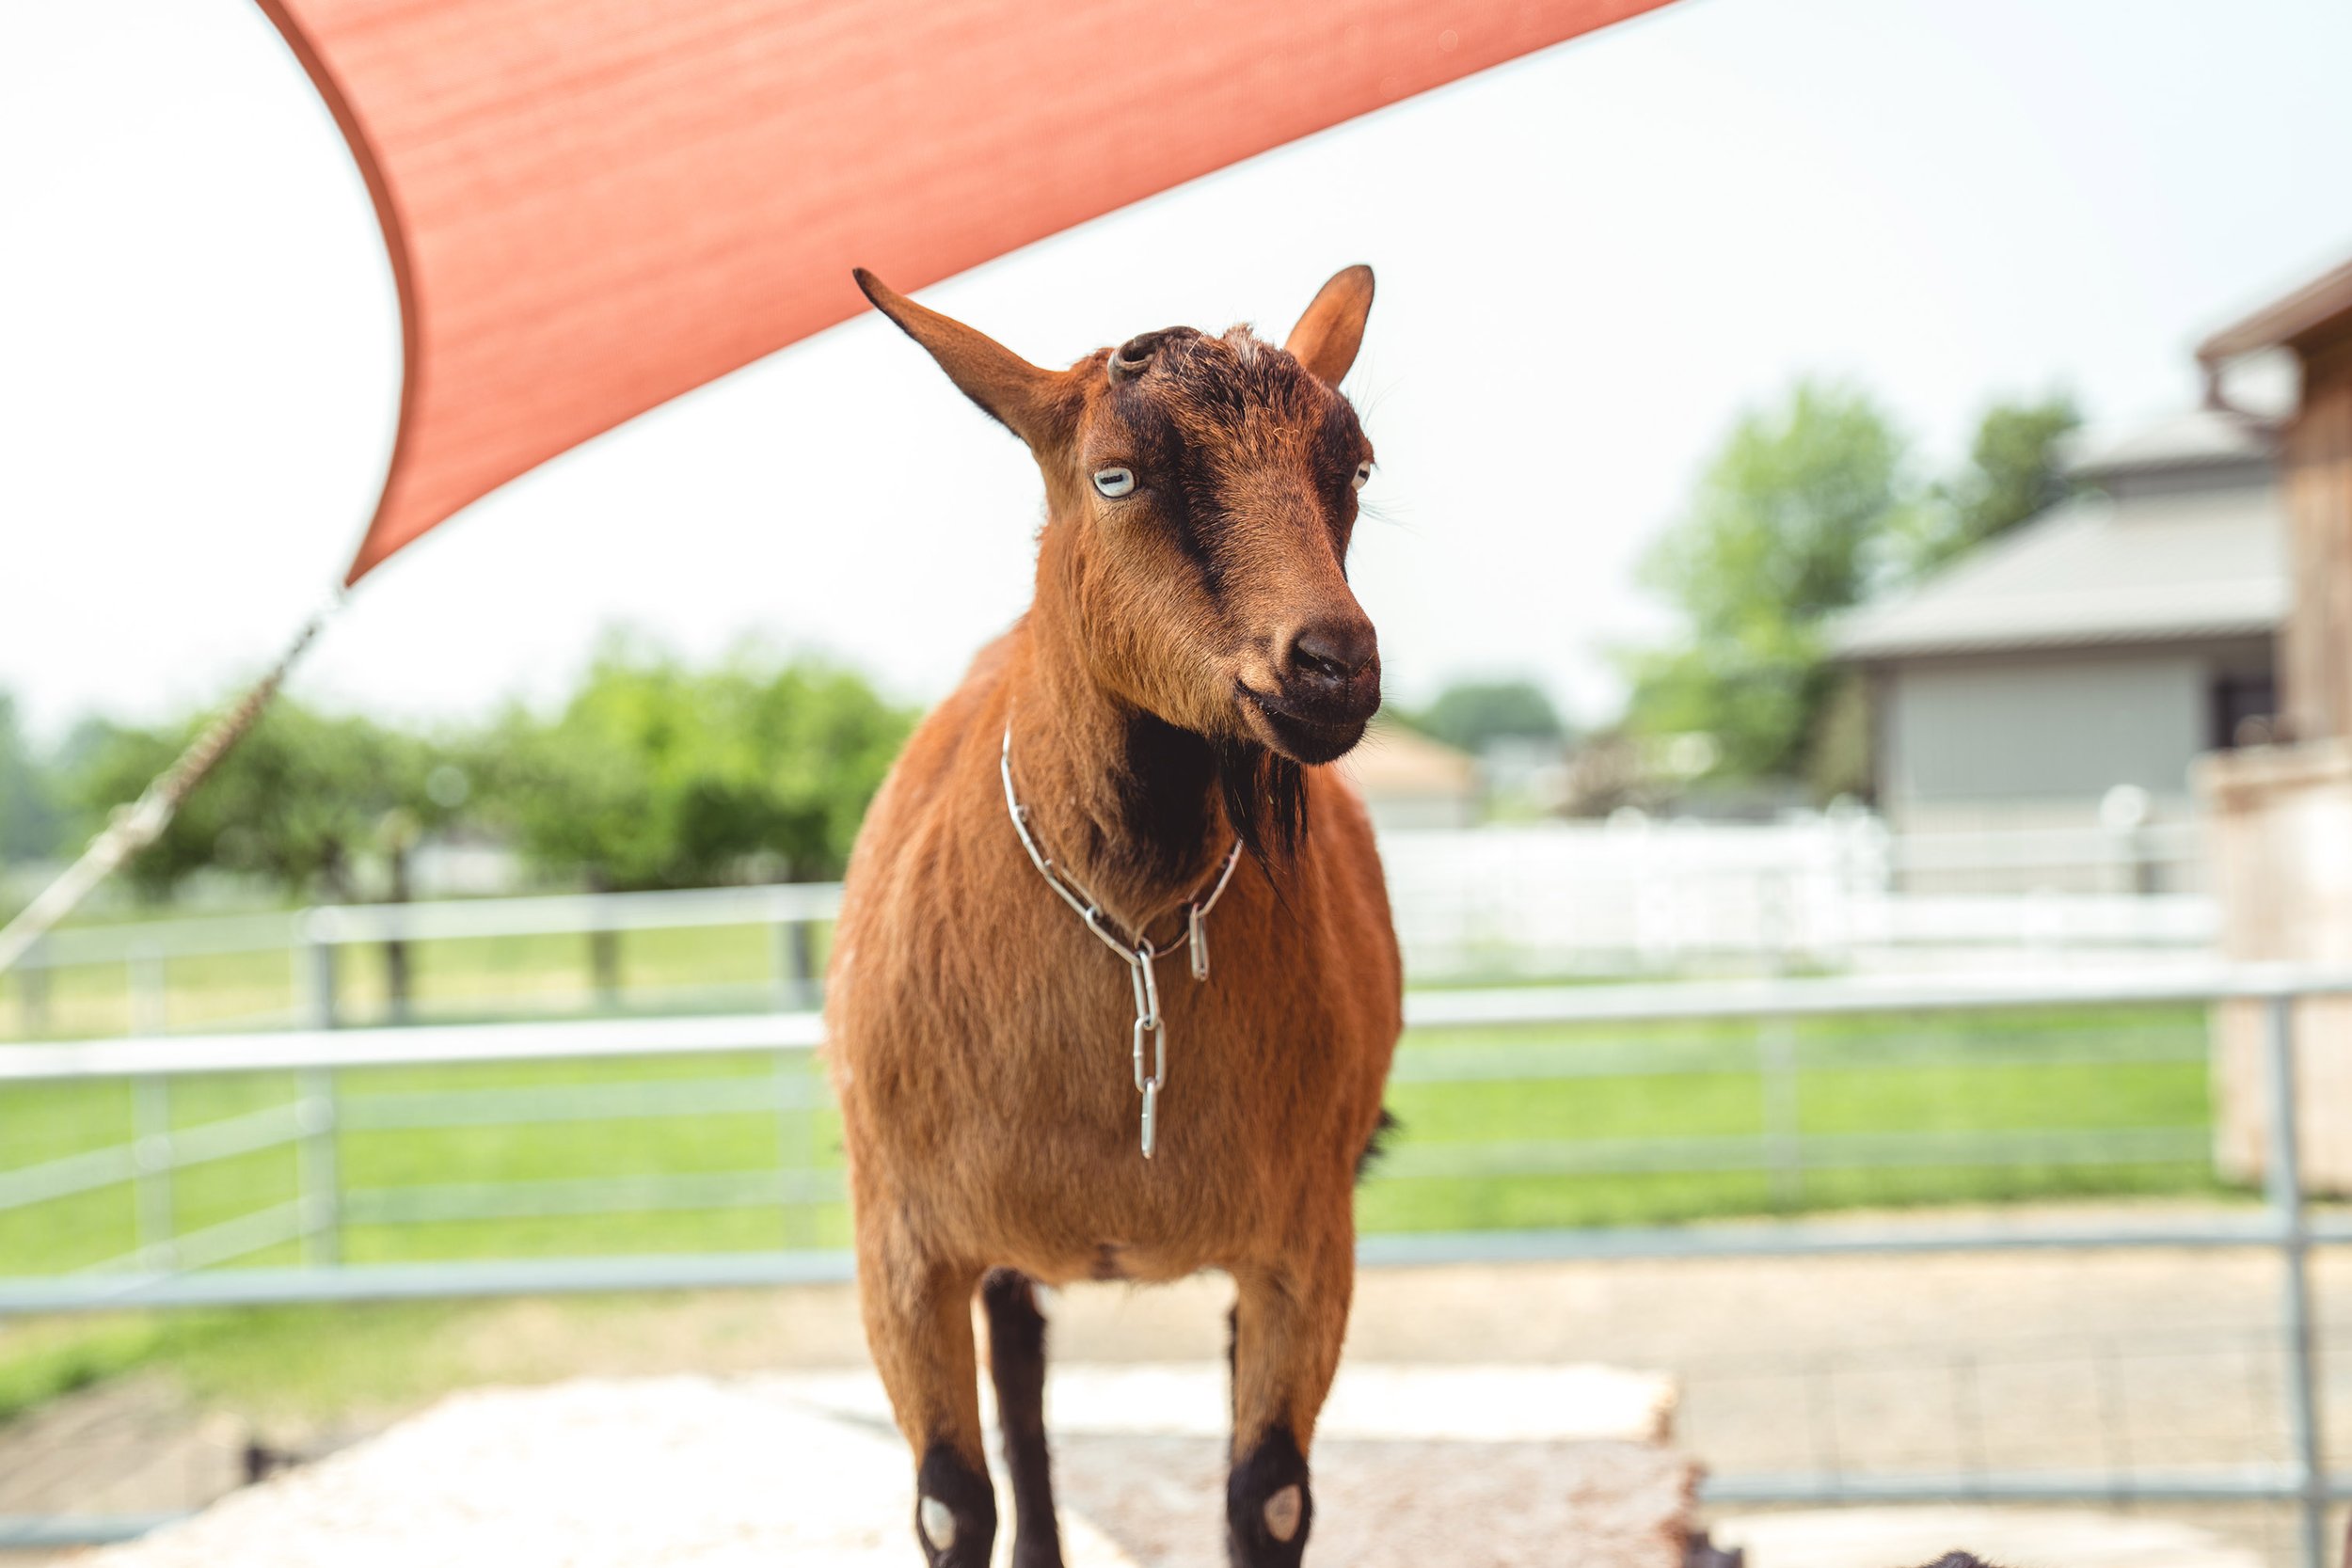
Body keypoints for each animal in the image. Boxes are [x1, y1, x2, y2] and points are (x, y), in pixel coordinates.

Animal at [826, 266, 1401, 1568]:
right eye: (1115, 476)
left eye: (1353, 463)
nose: (1331, 665)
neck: (1133, 932)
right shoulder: (903, 1244)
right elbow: (951, 1498)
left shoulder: (1307, 1239)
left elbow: (1268, 1493)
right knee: (1022, 1370)